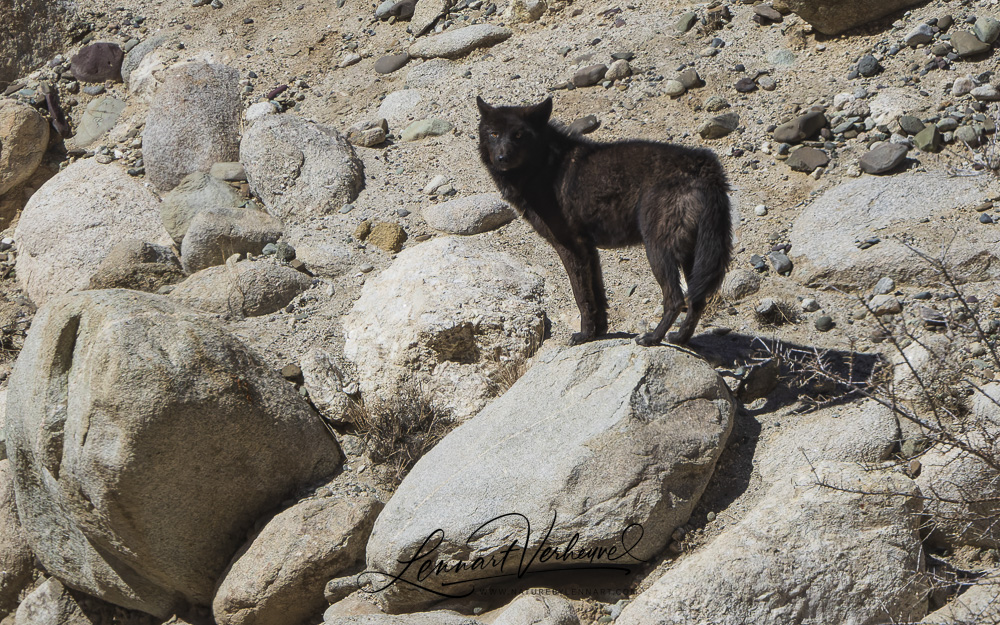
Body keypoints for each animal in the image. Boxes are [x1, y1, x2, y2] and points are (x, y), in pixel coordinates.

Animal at [476, 96, 736, 346]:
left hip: (658, 250)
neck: (545, 167)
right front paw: (597, 332)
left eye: (519, 135)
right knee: (697, 300)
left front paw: (583, 335)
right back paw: (680, 339)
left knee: (675, 298)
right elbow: (597, 294)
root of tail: (704, 165)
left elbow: (581, 296)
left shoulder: (570, 246)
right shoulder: (589, 249)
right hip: (694, 255)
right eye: (494, 134)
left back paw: (652, 338)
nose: (502, 158)